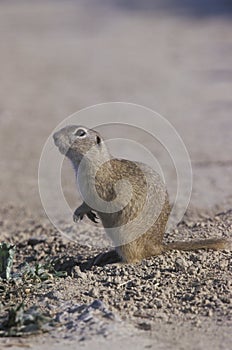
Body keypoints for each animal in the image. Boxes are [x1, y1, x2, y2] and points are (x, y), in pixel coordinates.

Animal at [53, 126, 232, 266]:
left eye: (81, 133)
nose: (54, 136)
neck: (95, 162)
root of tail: (157, 245)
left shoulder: (100, 188)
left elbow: (95, 202)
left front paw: (79, 212)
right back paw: (106, 255)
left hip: (126, 235)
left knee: (135, 258)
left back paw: (117, 263)